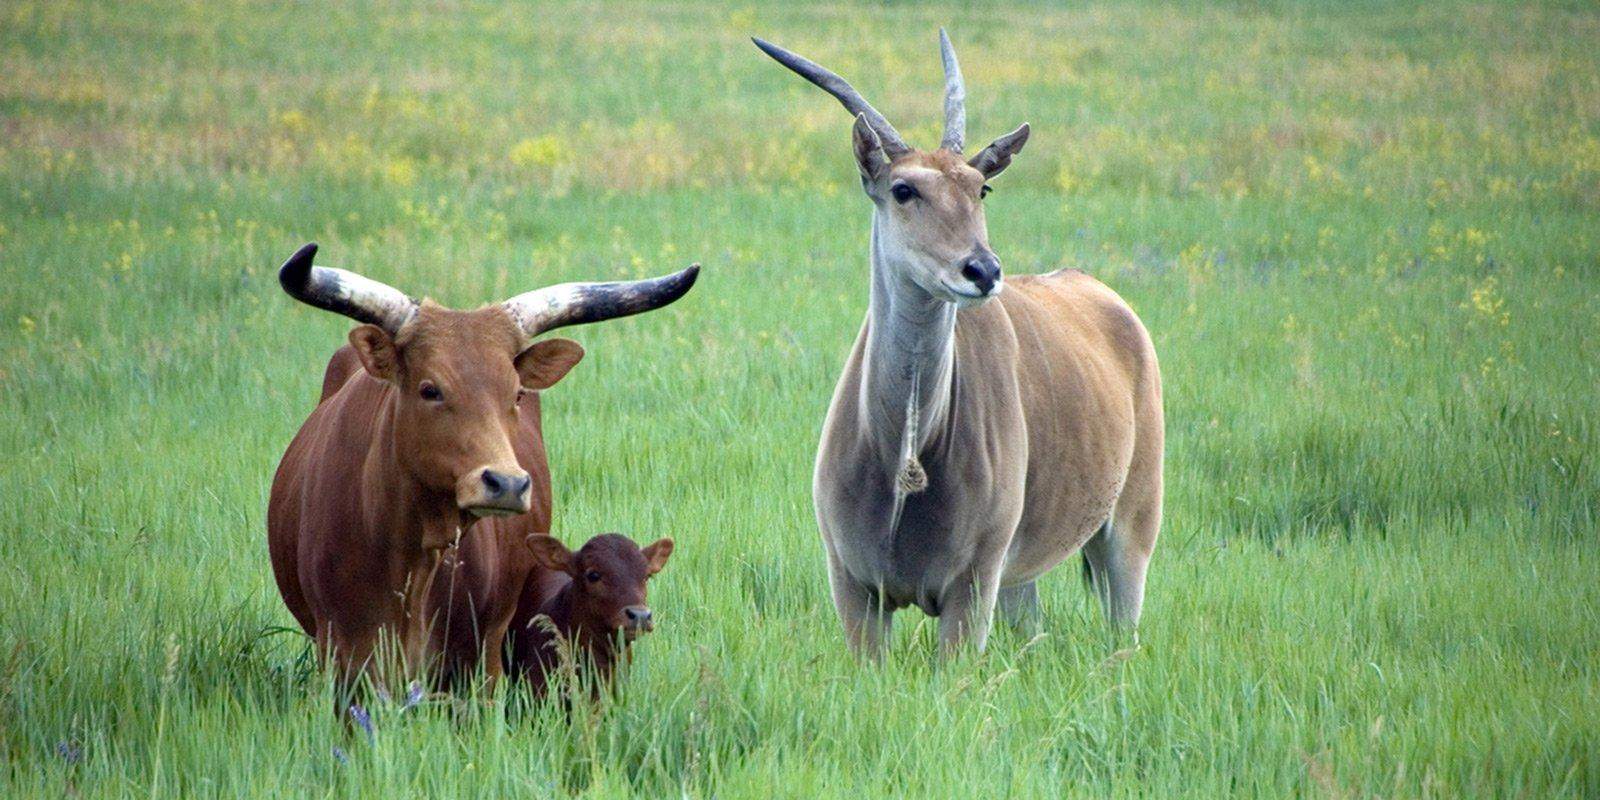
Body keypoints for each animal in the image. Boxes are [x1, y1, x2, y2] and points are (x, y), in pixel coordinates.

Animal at [752, 31, 1164, 656]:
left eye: (981, 187)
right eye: (903, 189)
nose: (983, 270)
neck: (905, 454)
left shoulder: (970, 590)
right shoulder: (855, 589)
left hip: (1132, 526)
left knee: (1125, 625)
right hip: (1019, 578)